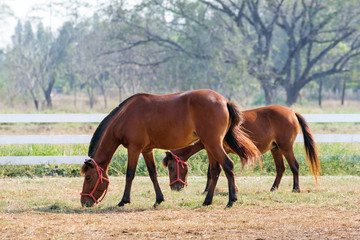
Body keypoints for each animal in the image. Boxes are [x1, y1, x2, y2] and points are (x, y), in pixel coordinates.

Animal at [79, 89, 258, 208]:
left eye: (88, 178)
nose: (84, 202)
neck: (124, 116)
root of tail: (224, 101)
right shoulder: (146, 150)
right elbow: (153, 174)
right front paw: (158, 199)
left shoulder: (134, 149)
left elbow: (130, 174)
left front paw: (124, 200)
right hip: (210, 145)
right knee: (215, 171)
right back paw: (207, 201)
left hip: (213, 144)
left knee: (228, 166)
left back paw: (231, 200)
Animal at [163, 105, 320, 193]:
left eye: (171, 167)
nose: (175, 188)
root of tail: (292, 112)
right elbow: (213, 171)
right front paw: (208, 190)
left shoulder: (216, 150)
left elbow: (214, 171)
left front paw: (208, 190)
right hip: (275, 149)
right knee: (281, 168)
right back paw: (273, 188)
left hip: (285, 147)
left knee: (294, 166)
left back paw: (295, 189)